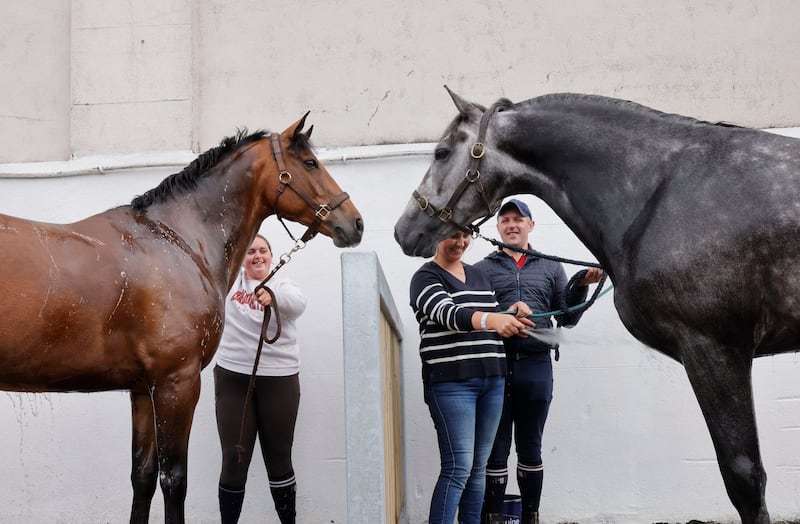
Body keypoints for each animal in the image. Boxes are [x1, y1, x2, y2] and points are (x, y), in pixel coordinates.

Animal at [0, 112, 362, 520]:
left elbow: (142, 476)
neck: (179, 242)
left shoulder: (143, 389)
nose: (356, 223)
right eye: (310, 163)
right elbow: (174, 480)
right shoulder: (177, 383)